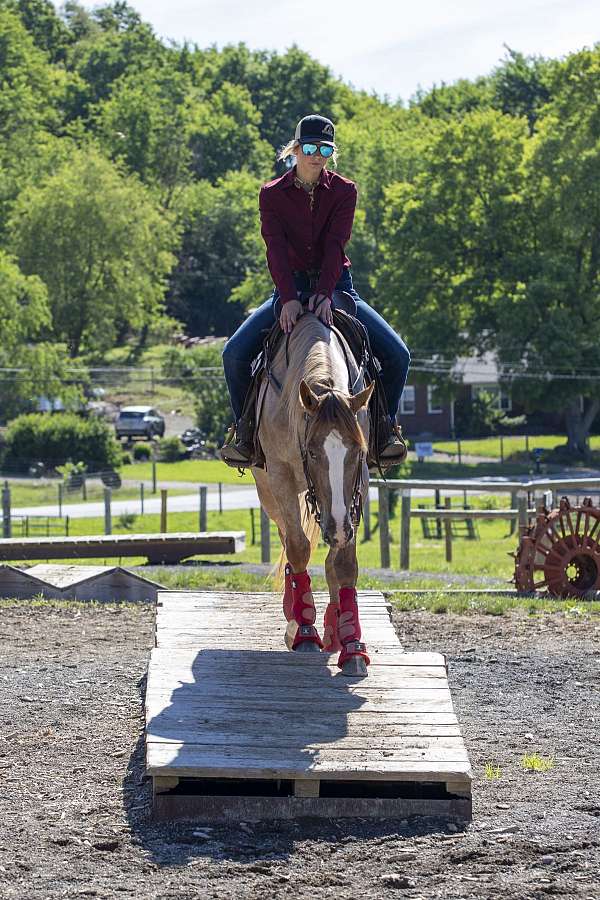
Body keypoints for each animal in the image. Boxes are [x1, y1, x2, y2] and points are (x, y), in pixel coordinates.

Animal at [251, 310, 372, 676]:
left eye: (357, 452)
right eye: (313, 452)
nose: (338, 526)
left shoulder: (358, 485)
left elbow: (343, 562)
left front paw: (351, 642)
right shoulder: (279, 476)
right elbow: (299, 547)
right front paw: (304, 628)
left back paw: (333, 628)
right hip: (268, 492)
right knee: (288, 541)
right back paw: (293, 612)